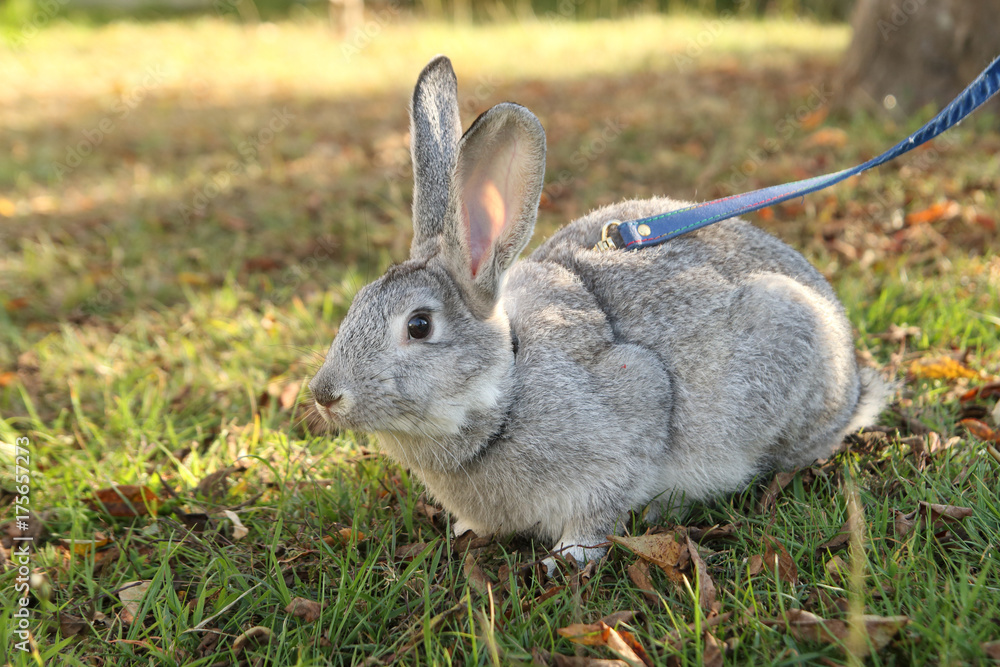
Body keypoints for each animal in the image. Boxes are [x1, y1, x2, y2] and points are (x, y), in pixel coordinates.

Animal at [308, 55, 890, 567]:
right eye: (357, 303)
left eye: (419, 325)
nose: (325, 394)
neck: (508, 385)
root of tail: (852, 385)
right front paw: (467, 529)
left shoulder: (629, 418)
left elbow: (600, 507)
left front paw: (568, 556)